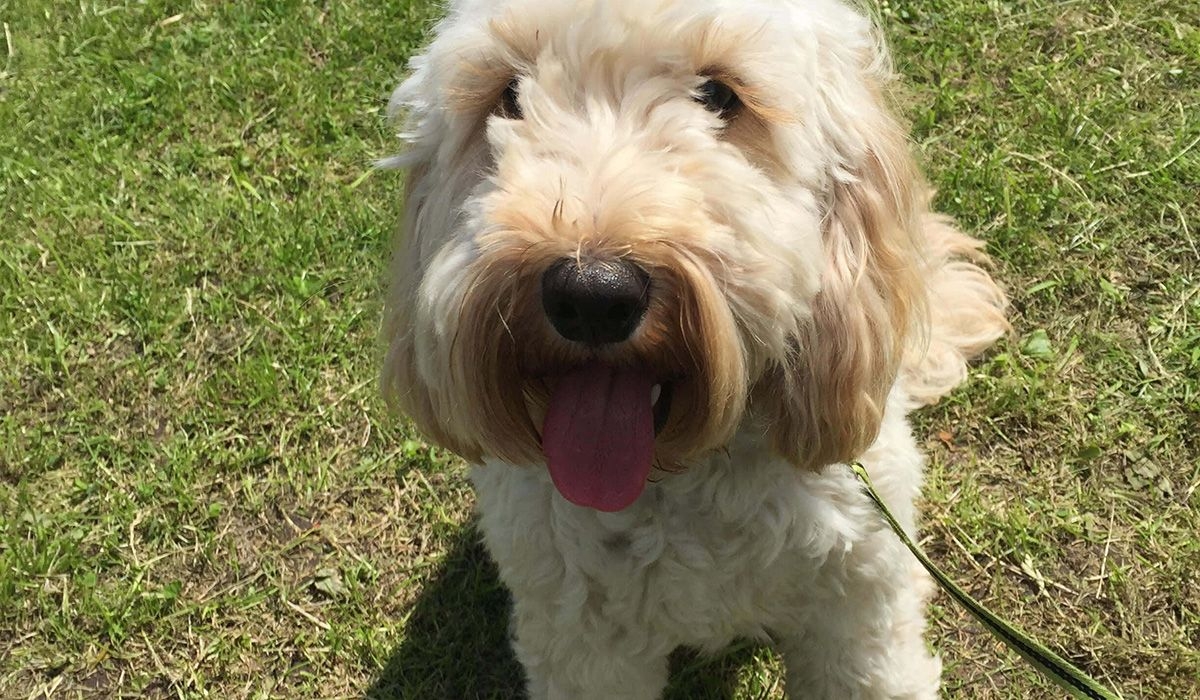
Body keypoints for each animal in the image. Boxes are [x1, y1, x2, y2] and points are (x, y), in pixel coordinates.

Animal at [379, 1, 1008, 696]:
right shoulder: (582, 640)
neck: (679, 471)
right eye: (509, 96)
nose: (591, 296)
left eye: (719, 95)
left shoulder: (857, 600)